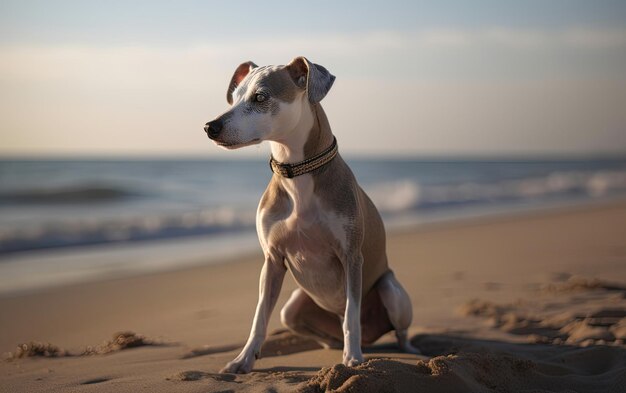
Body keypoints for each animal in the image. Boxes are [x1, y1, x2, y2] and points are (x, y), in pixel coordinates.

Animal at [205, 56, 420, 372]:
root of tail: (372, 336)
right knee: (321, 328)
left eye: (260, 97)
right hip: (293, 308)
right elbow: (259, 318)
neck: (298, 174)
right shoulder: (272, 260)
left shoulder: (351, 257)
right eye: (234, 97)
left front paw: (353, 359)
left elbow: (351, 315)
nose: (211, 126)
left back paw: (405, 349)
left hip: (391, 291)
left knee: (395, 328)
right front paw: (243, 360)